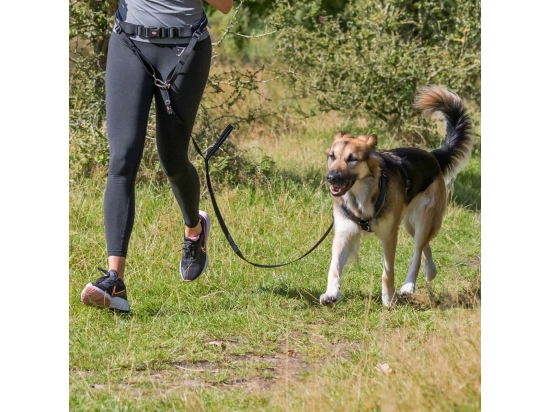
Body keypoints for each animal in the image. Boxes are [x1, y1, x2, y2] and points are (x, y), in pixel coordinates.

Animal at [322, 86, 476, 306]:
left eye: (352, 159)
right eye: (332, 156)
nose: (331, 178)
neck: (361, 197)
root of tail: (432, 156)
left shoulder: (389, 236)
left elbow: (388, 273)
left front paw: (388, 299)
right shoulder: (344, 232)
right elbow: (334, 268)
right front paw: (331, 294)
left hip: (422, 220)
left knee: (418, 252)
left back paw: (408, 286)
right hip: (409, 223)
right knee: (425, 246)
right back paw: (431, 271)